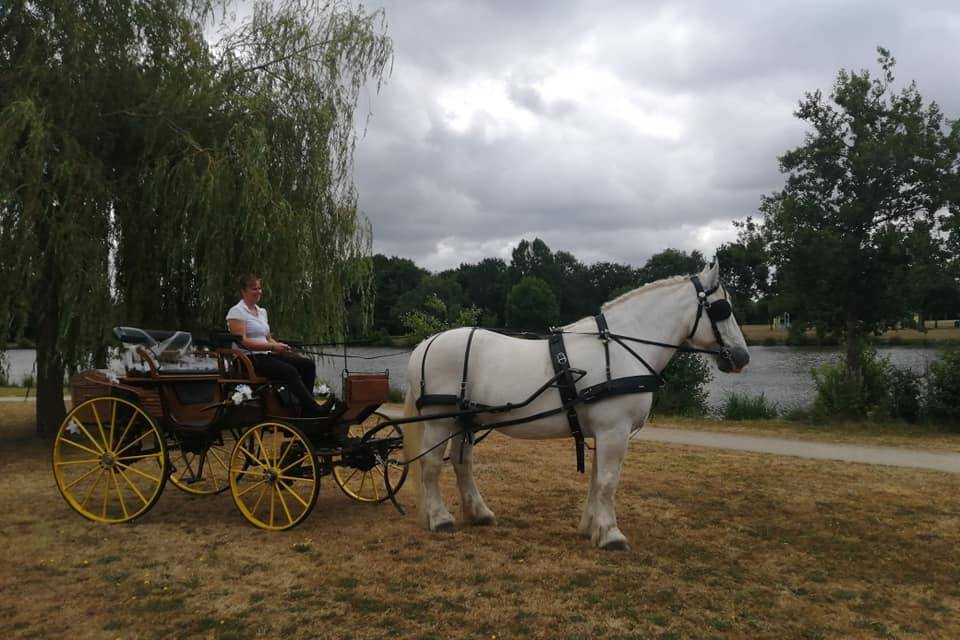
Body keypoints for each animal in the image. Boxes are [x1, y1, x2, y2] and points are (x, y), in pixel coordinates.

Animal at [402, 260, 748, 552]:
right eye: (723, 309)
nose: (742, 356)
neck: (621, 348)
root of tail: (425, 344)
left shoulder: (604, 433)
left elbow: (598, 480)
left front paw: (591, 527)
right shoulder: (614, 431)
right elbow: (608, 482)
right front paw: (610, 534)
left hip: (465, 420)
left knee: (462, 464)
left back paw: (479, 513)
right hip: (439, 421)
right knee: (431, 466)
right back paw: (440, 518)